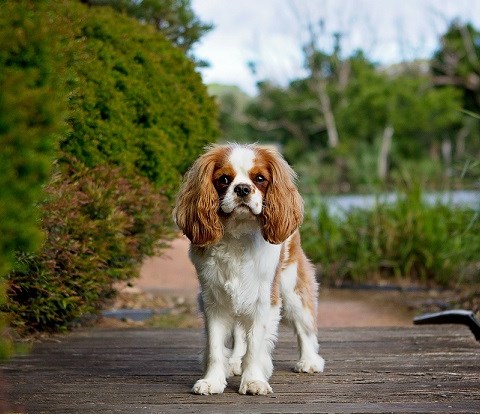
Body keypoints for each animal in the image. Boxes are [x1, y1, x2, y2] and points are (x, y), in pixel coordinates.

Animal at [172, 144, 322, 396]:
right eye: (224, 179)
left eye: (259, 179)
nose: (242, 189)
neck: (238, 235)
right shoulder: (214, 301)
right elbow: (215, 346)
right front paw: (213, 380)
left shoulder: (264, 299)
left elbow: (255, 345)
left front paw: (253, 380)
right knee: (239, 333)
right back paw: (234, 362)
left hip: (292, 288)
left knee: (304, 326)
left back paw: (309, 361)